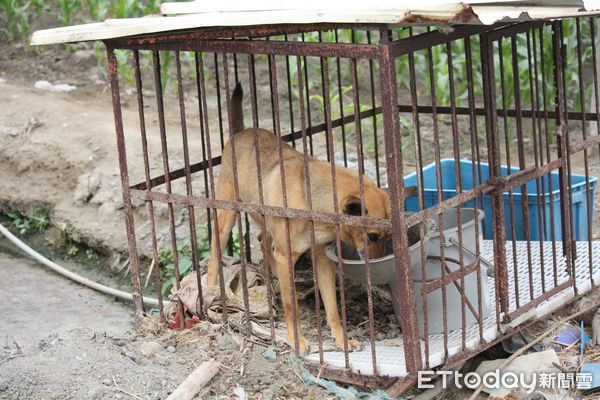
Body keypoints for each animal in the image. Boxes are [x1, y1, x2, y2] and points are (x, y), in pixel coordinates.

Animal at [206, 83, 412, 354]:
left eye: (388, 236)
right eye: (373, 236)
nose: (378, 265)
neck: (313, 202)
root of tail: (241, 132)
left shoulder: (322, 259)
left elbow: (333, 307)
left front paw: (342, 339)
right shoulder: (287, 254)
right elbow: (291, 306)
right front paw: (297, 340)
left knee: (263, 240)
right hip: (227, 216)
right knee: (216, 253)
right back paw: (209, 292)